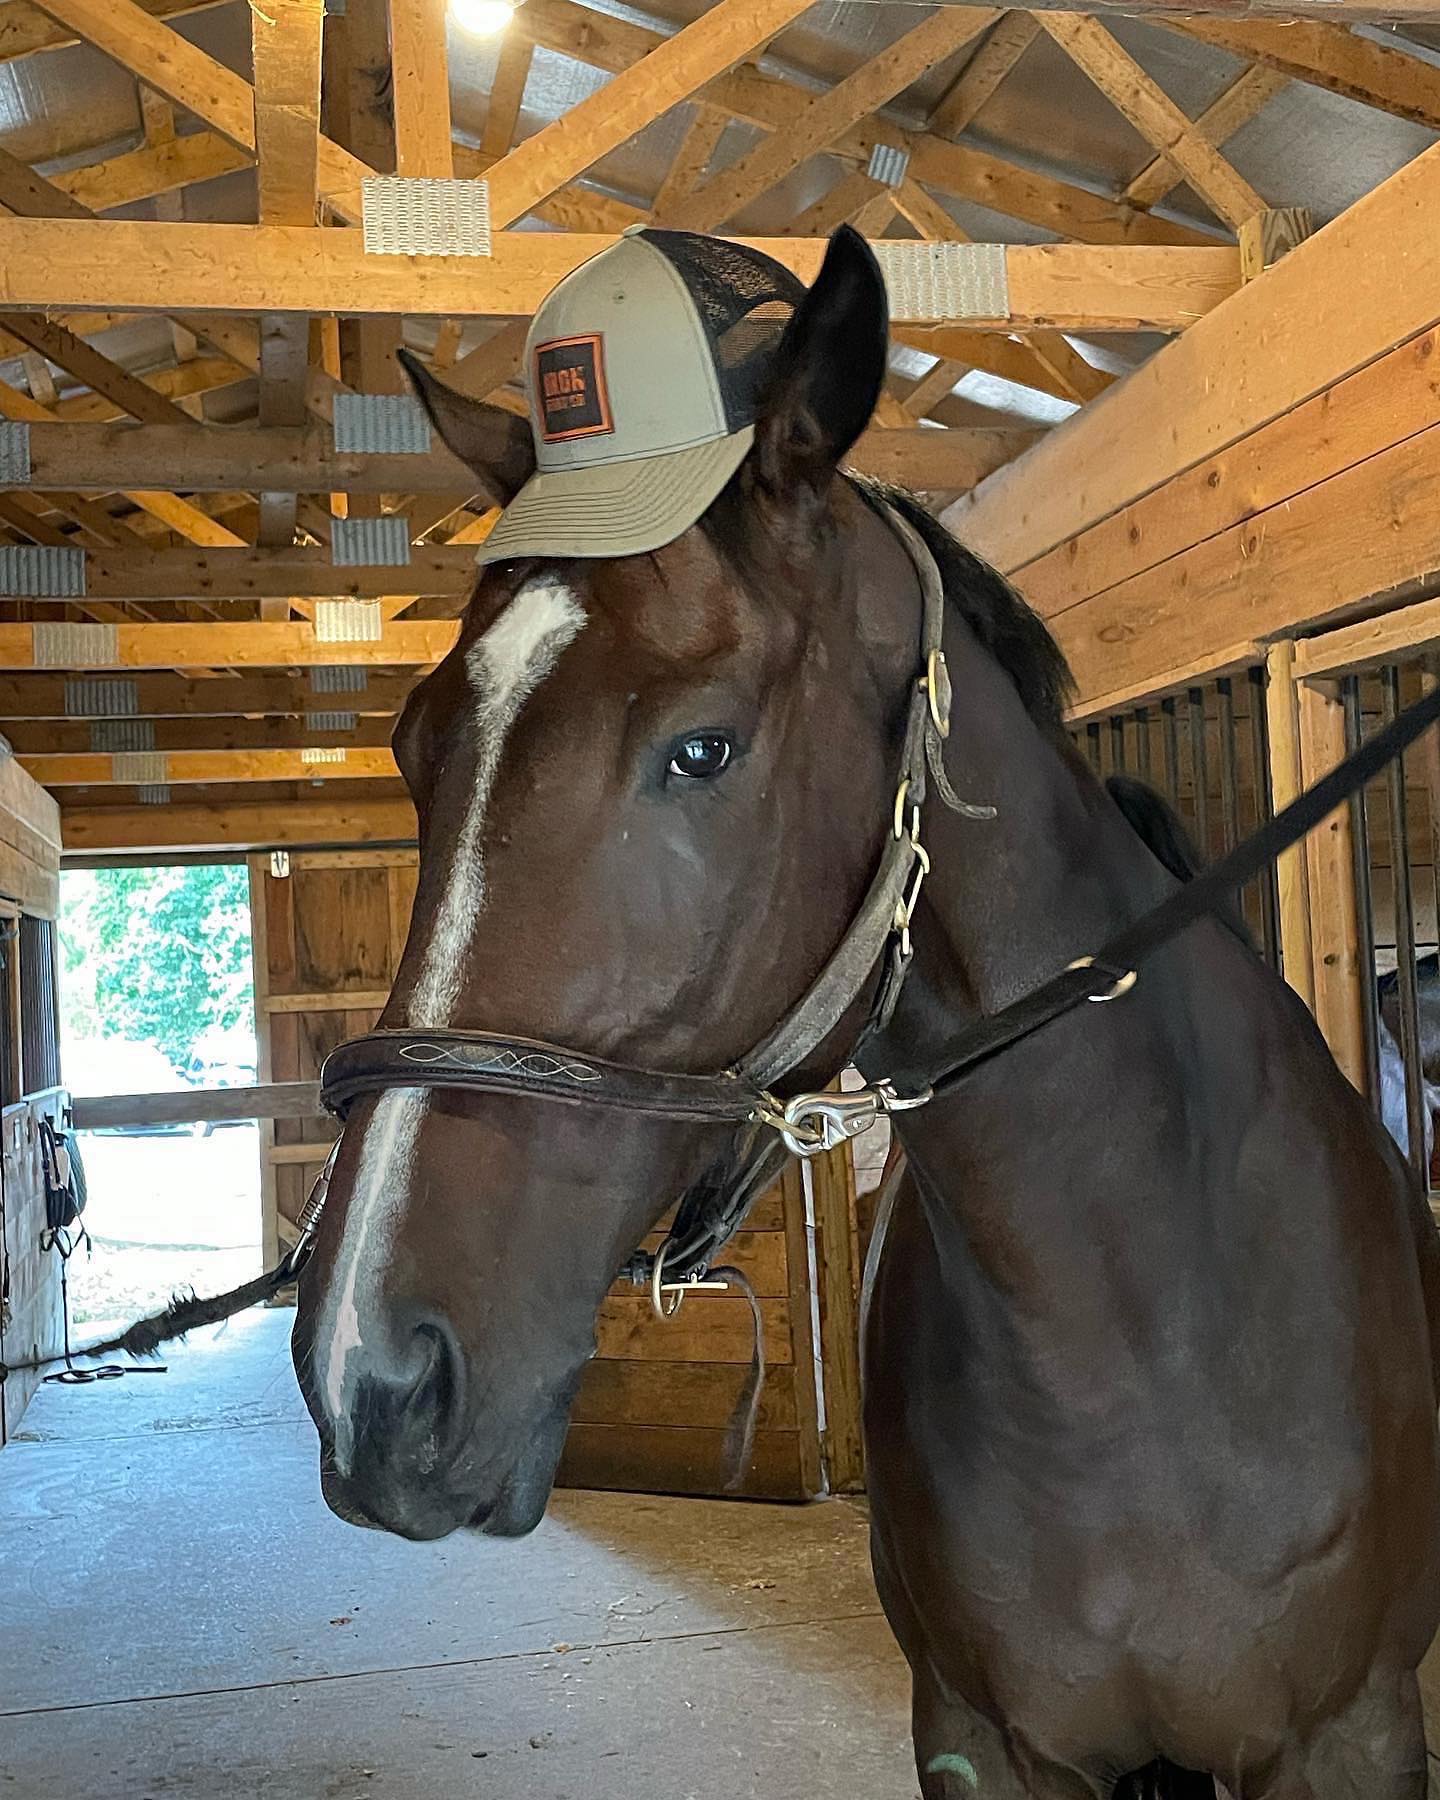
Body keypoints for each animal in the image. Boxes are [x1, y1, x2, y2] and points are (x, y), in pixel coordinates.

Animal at [289, 228, 1440, 1800]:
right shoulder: (978, 1743)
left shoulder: (1353, 1738)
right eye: (418, 747)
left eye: (700, 750)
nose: (372, 1374)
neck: (1141, 1331)